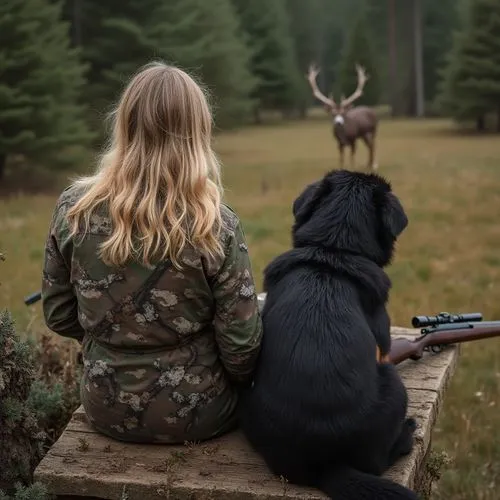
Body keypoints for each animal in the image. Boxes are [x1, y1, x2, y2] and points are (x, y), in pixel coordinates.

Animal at [240, 170, 420, 498]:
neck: (333, 248)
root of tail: (324, 466)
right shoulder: (384, 339)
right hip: (394, 386)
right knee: (380, 460)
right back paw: (407, 433)